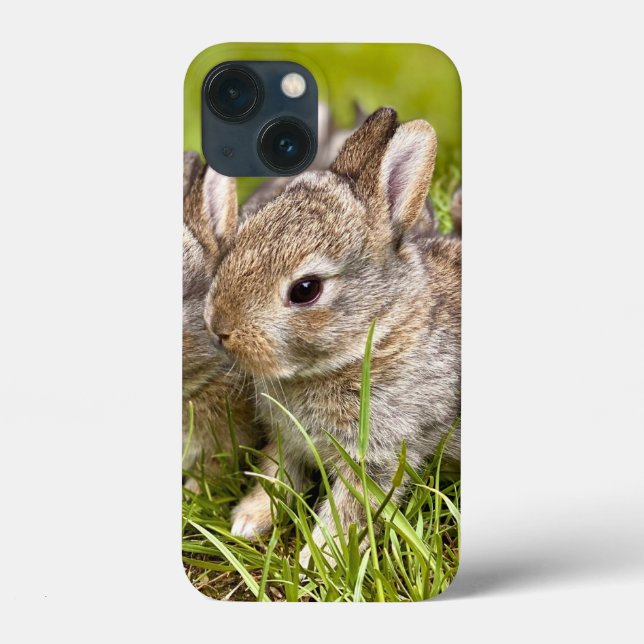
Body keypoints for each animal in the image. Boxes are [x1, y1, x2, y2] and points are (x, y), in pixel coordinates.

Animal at [203, 108, 461, 568]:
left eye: (305, 290)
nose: (219, 328)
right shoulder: (288, 440)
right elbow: (275, 474)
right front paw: (248, 520)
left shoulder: (379, 455)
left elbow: (350, 508)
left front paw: (319, 557)